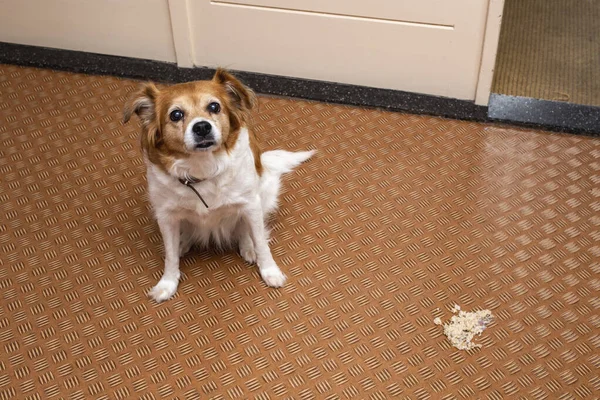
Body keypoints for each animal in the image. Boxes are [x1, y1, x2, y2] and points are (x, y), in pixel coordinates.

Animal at [125, 69, 316, 302]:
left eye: (214, 107)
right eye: (176, 115)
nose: (202, 127)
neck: (202, 170)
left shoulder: (250, 204)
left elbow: (261, 242)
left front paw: (270, 271)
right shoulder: (166, 215)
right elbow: (170, 256)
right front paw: (167, 284)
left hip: (265, 194)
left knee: (247, 230)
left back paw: (248, 247)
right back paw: (183, 243)